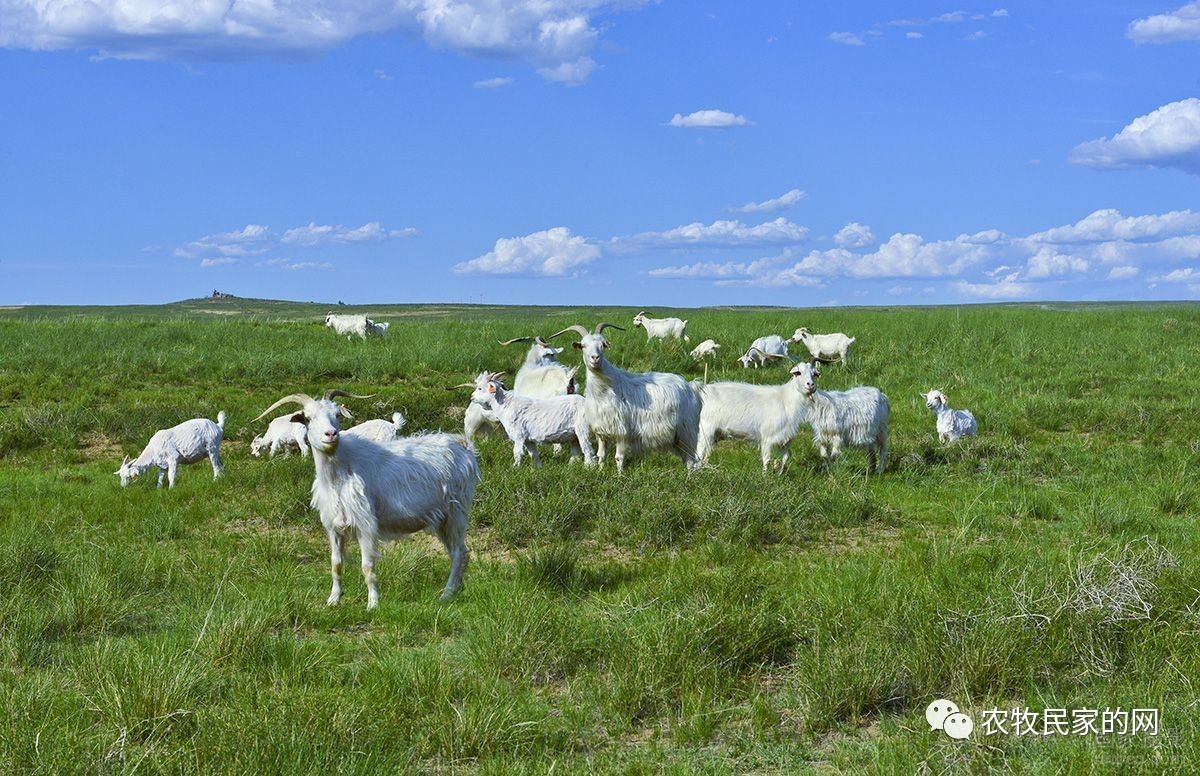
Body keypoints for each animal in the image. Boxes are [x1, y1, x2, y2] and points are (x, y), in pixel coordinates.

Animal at [255, 390, 480, 609]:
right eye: (308, 418)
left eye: (337, 415)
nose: (331, 434)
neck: (340, 472)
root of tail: (463, 445)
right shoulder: (333, 526)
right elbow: (335, 564)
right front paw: (333, 600)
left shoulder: (365, 523)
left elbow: (367, 566)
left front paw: (373, 603)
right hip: (442, 518)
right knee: (457, 552)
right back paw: (455, 590)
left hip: (456, 511)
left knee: (459, 552)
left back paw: (446, 594)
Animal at [451, 371, 592, 467]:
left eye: (480, 388)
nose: (472, 397)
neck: (506, 405)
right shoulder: (528, 439)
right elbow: (533, 454)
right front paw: (538, 468)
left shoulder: (519, 435)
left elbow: (517, 453)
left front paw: (515, 467)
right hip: (574, 435)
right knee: (576, 452)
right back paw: (571, 466)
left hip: (583, 429)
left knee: (588, 450)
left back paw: (589, 468)